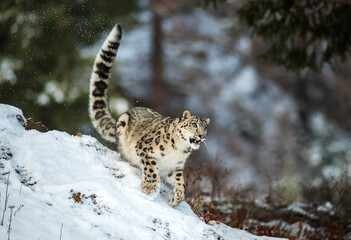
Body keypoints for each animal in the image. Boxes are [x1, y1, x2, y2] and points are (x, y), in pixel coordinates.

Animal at [89, 23, 210, 206]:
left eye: (206, 128)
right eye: (194, 124)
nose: (202, 136)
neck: (180, 149)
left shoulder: (174, 167)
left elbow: (181, 183)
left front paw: (175, 199)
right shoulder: (145, 149)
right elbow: (152, 170)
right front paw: (149, 190)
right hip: (124, 125)